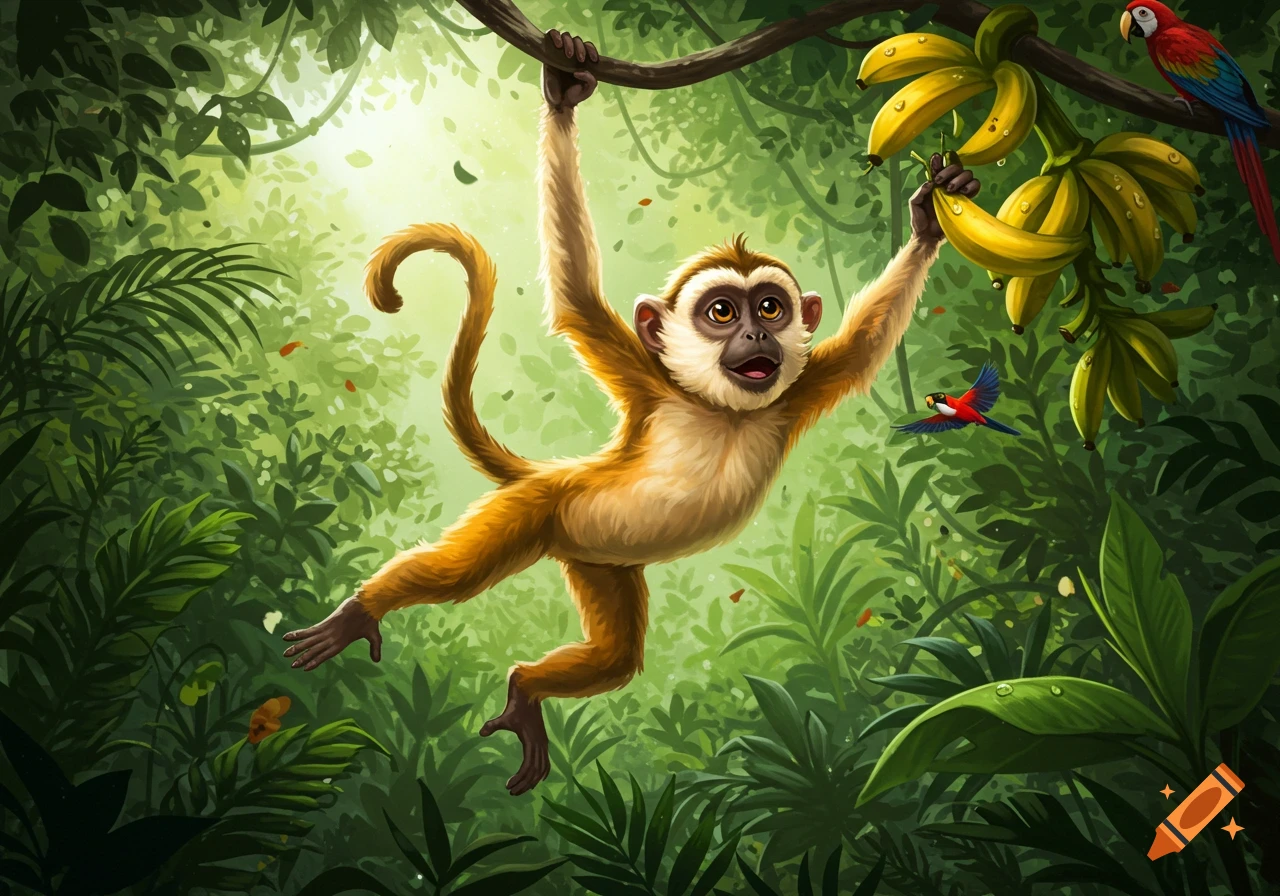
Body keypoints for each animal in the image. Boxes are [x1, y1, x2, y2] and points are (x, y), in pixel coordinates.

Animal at [283, 29, 980, 796]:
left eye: (770, 307)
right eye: (722, 313)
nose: (757, 339)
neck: (721, 409)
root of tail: (554, 474)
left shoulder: (795, 392)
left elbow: (860, 349)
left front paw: (928, 222)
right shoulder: (651, 383)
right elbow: (577, 297)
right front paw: (564, 91)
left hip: (595, 558)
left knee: (616, 656)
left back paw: (525, 691)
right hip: (539, 512)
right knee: (456, 574)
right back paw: (362, 611)